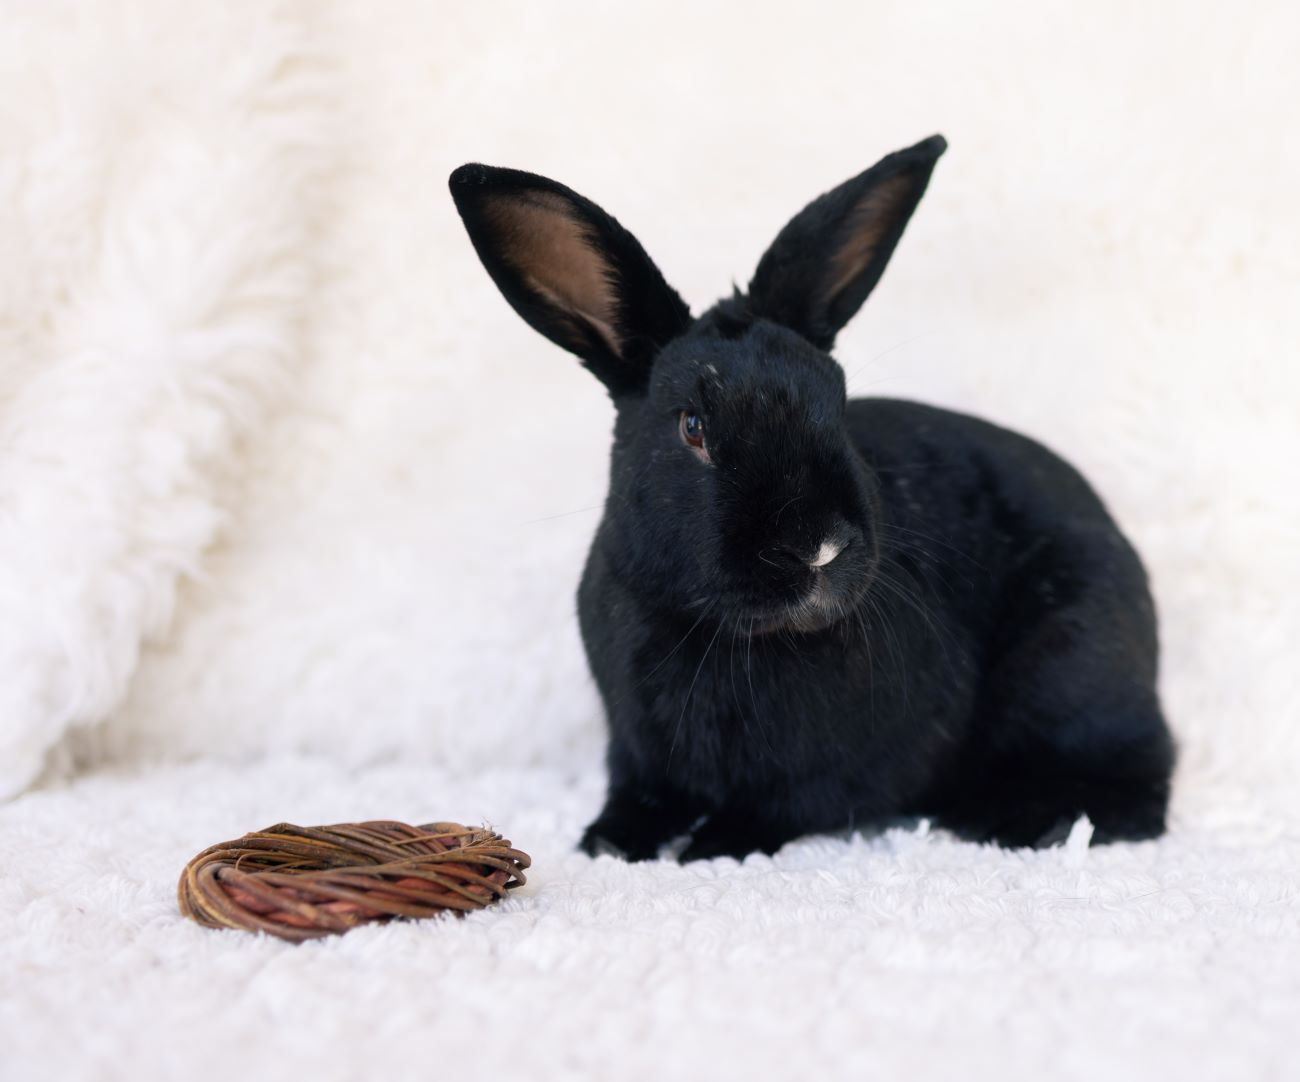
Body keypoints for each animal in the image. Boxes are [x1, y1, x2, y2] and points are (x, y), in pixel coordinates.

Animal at [452, 137, 1175, 863]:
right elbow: (640, 798)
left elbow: (784, 808)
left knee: (1139, 784)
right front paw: (607, 842)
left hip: (1068, 671)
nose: (818, 546)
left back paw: (1012, 824)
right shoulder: (636, 751)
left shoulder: (844, 773)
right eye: (693, 427)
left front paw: (712, 845)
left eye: (839, 403)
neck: (720, 635)